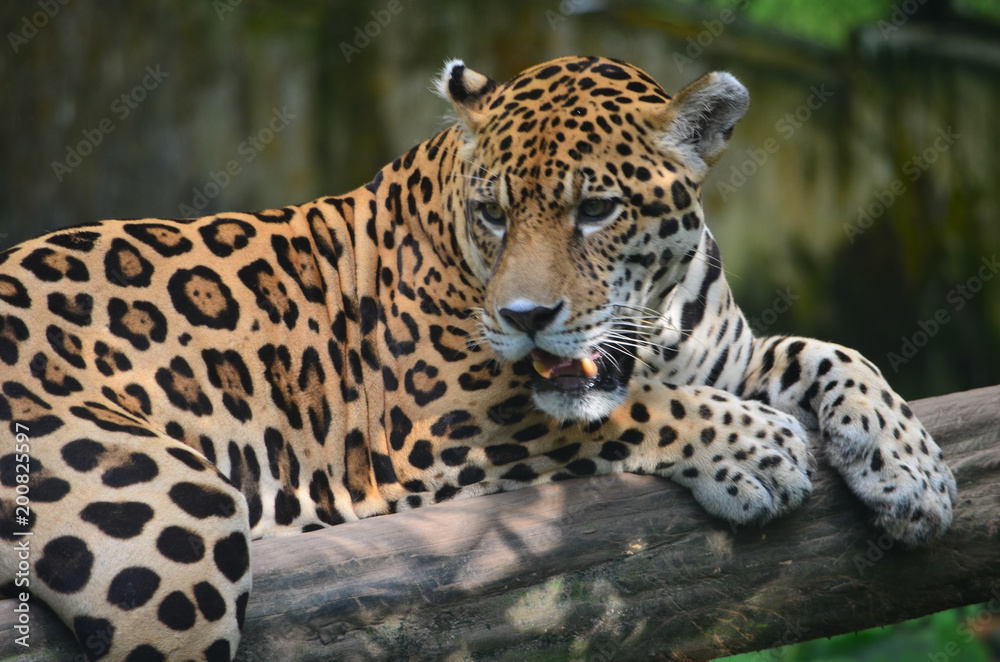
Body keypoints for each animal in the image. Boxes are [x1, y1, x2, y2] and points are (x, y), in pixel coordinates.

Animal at [0, 56, 956, 661]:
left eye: (597, 210)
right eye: (494, 214)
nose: (525, 316)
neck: (654, 323)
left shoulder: (722, 353)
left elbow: (831, 352)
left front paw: (912, 470)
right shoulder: (442, 420)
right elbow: (628, 411)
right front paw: (759, 453)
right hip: (174, 534)